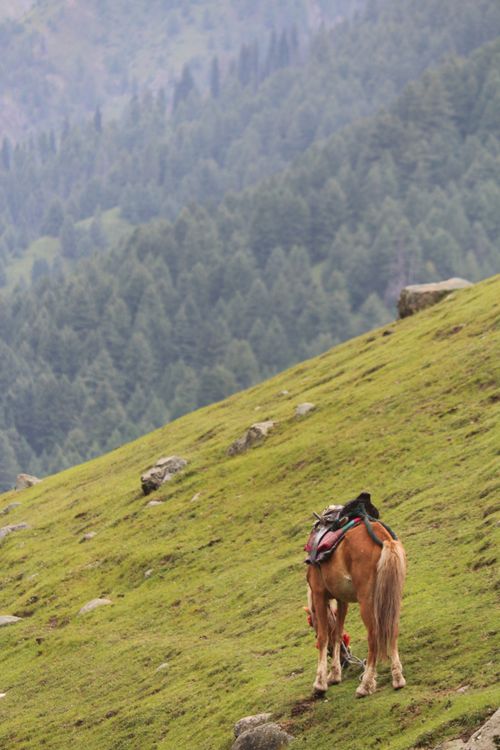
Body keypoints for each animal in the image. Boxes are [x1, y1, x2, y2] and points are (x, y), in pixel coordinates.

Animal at [305, 494, 406, 697]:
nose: (345, 661)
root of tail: (384, 539)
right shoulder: (341, 599)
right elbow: (337, 633)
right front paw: (334, 675)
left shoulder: (320, 595)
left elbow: (324, 637)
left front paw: (320, 683)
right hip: (391, 598)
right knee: (392, 629)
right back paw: (397, 678)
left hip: (366, 600)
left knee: (374, 636)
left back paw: (365, 685)